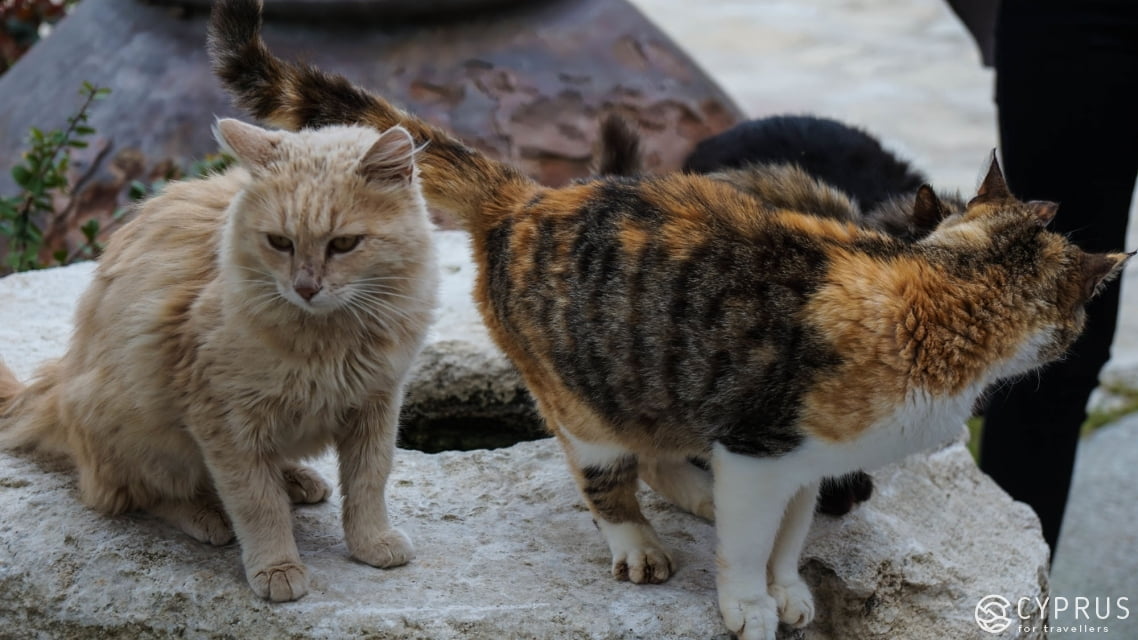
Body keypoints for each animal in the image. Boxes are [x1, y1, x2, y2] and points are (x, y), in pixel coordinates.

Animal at [0, 117, 436, 601]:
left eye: (344, 244)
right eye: (280, 242)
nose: (305, 288)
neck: (328, 340)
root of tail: (59, 389)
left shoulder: (376, 405)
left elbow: (368, 483)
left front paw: (370, 542)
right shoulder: (226, 421)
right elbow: (256, 503)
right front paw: (277, 566)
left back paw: (295, 479)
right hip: (142, 430)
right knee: (143, 494)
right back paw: (206, 516)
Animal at [209, 2, 1133, 633]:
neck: (933, 282)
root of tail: (532, 195)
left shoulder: (803, 458)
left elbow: (791, 533)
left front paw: (790, 591)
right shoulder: (762, 446)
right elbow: (751, 541)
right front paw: (748, 605)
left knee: (661, 451)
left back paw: (693, 491)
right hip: (586, 398)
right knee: (609, 473)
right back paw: (640, 541)